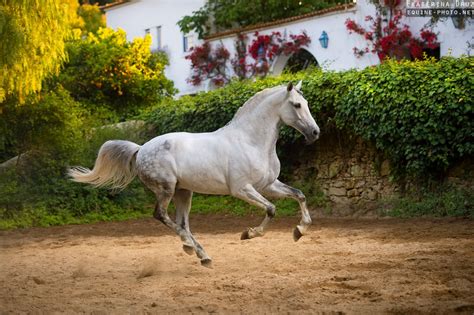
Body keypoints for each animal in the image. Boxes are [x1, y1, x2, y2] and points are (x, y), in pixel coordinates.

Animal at [69, 80, 318, 268]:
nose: (315, 133)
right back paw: (191, 247)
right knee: (161, 216)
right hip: (166, 188)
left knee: (183, 222)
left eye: (306, 103)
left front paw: (299, 230)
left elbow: (299, 194)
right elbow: (271, 209)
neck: (251, 141)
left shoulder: (268, 185)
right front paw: (248, 234)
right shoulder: (242, 189)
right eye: (296, 105)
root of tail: (141, 149)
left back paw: (200, 254)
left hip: (184, 192)